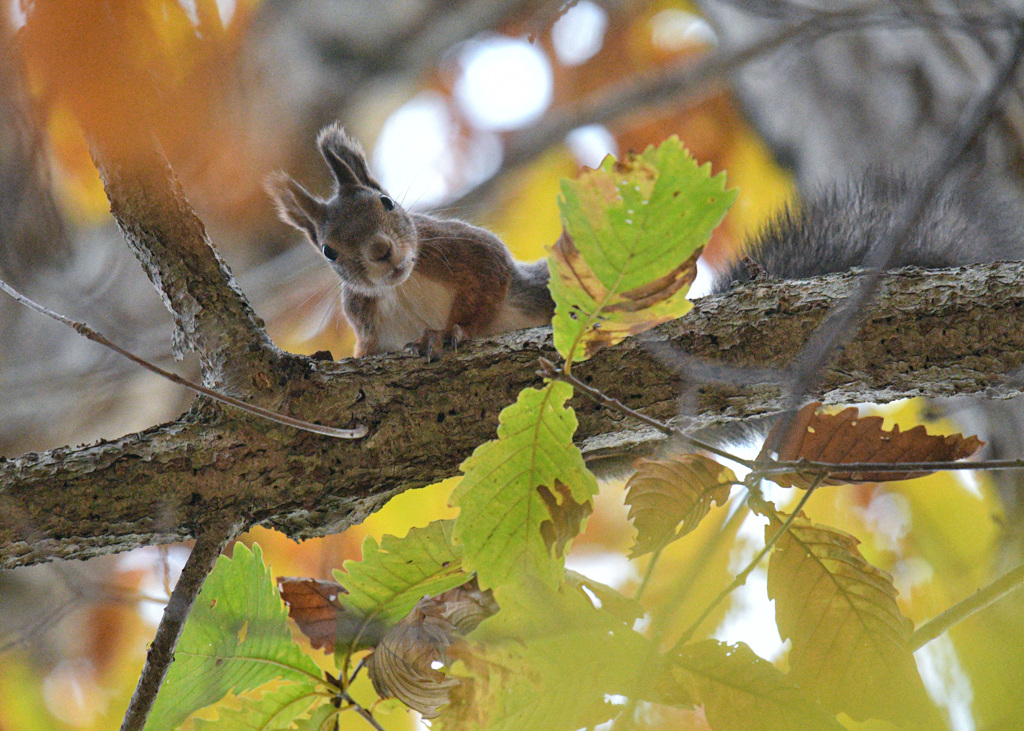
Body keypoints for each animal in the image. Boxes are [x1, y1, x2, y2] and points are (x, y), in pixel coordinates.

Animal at [264, 122, 552, 358]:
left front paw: (444, 333)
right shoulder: (368, 327)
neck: (402, 288)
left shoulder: (474, 251)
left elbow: (484, 293)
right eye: (328, 251)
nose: (380, 250)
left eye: (387, 202)